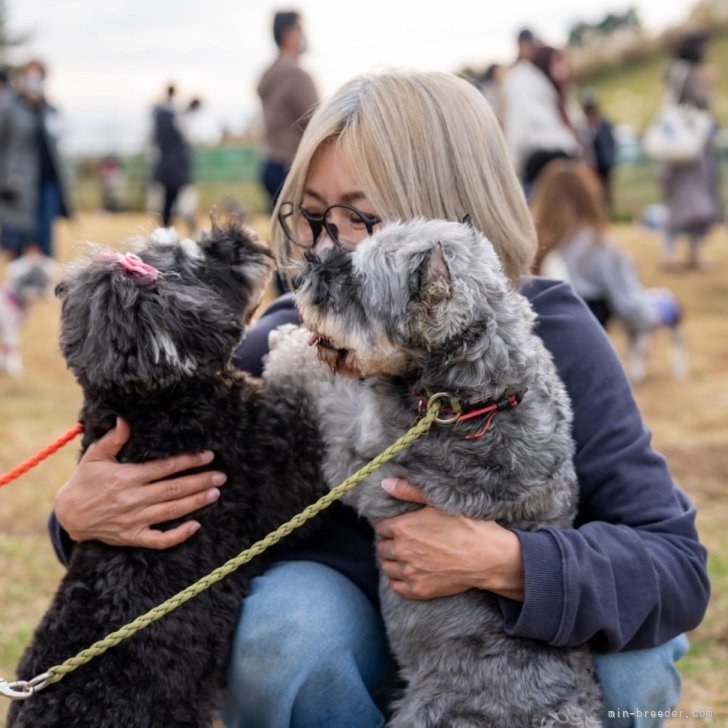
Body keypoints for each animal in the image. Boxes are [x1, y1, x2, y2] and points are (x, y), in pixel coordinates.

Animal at [8, 222, 326, 728]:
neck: (151, 408)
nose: (238, 233)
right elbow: (299, 394)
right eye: (192, 261)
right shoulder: (281, 482)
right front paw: (298, 343)